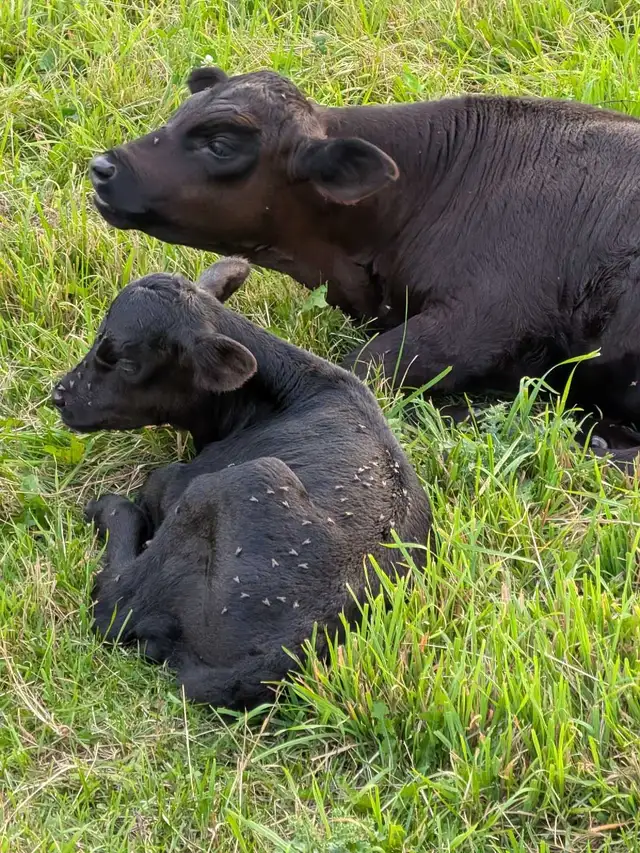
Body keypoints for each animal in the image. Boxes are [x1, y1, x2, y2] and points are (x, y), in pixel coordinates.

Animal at [51, 258, 431, 710]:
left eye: (126, 364)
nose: (60, 395)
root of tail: (286, 649)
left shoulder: (175, 483)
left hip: (237, 482)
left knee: (113, 603)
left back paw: (106, 510)